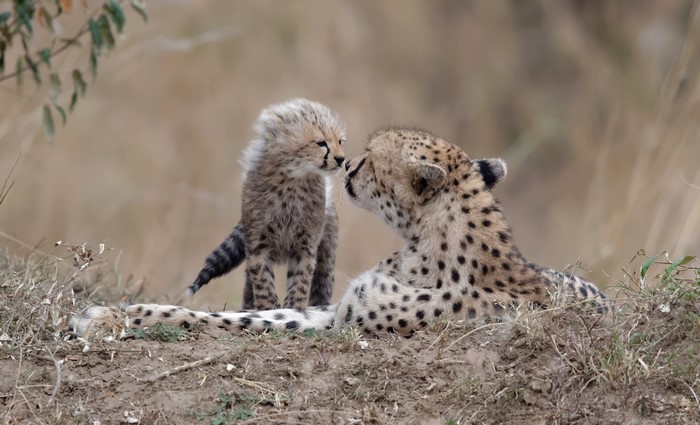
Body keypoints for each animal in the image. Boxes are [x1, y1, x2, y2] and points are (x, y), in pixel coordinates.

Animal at [71, 127, 610, 337]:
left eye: (370, 158)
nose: (347, 164)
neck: (424, 244)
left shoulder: (346, 322)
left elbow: (234, 322)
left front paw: (105, 318)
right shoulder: (336, 310)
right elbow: (252, 314)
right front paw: (112, 312)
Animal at [185, 98, 347, 310]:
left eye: (340, 141)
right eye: (320, 143)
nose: (341, 159)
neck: (292, 179)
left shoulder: (305, 249)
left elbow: (300, 285)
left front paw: (293, 309)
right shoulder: (257, 248)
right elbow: (263, 284)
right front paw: (268, 310)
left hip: (326, 252)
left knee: (323, 282)